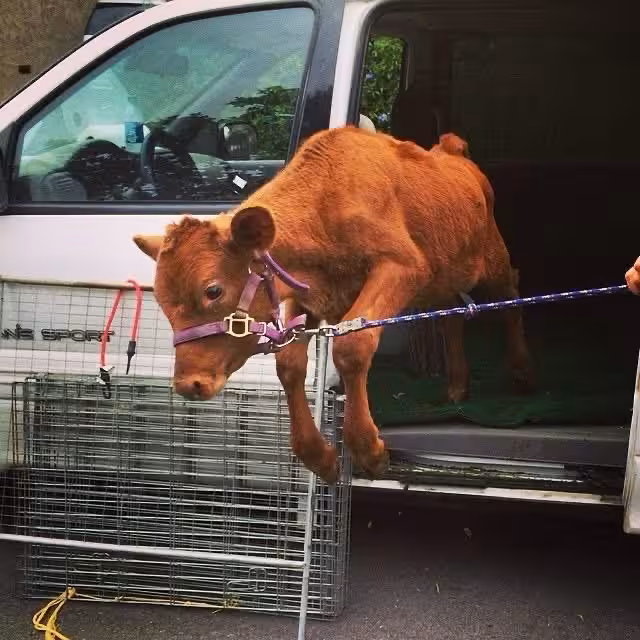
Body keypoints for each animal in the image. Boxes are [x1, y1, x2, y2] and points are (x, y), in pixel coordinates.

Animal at [133, 126, 534, 485]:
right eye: (162, 300)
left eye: (213, 291)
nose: (189, 383)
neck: (325, 205)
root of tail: (451, 150)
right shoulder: (303, 293)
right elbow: (289, 364)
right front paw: (320, 457)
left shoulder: (403, 265)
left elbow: (351, 345)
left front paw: (368, 450)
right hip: (443, 277)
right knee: (451, 317)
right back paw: (456, 387)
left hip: (490, 259)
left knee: (512, 298)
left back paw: (522, 372)